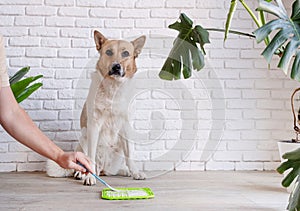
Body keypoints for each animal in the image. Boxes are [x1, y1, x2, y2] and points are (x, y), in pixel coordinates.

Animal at [46, 30, 148, 185]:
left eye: (125, 53)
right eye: (109, 52)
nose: (116, 66)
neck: (113, 88)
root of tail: (103, 169)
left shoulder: (126, 125)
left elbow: (130, 154)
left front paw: (135, 172)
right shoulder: (94, 125)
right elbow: (91, 157)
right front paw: (89, 176)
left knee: (110, 170)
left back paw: (123, 171)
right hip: (84, 138)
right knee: (85, 164)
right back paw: (81, 174)